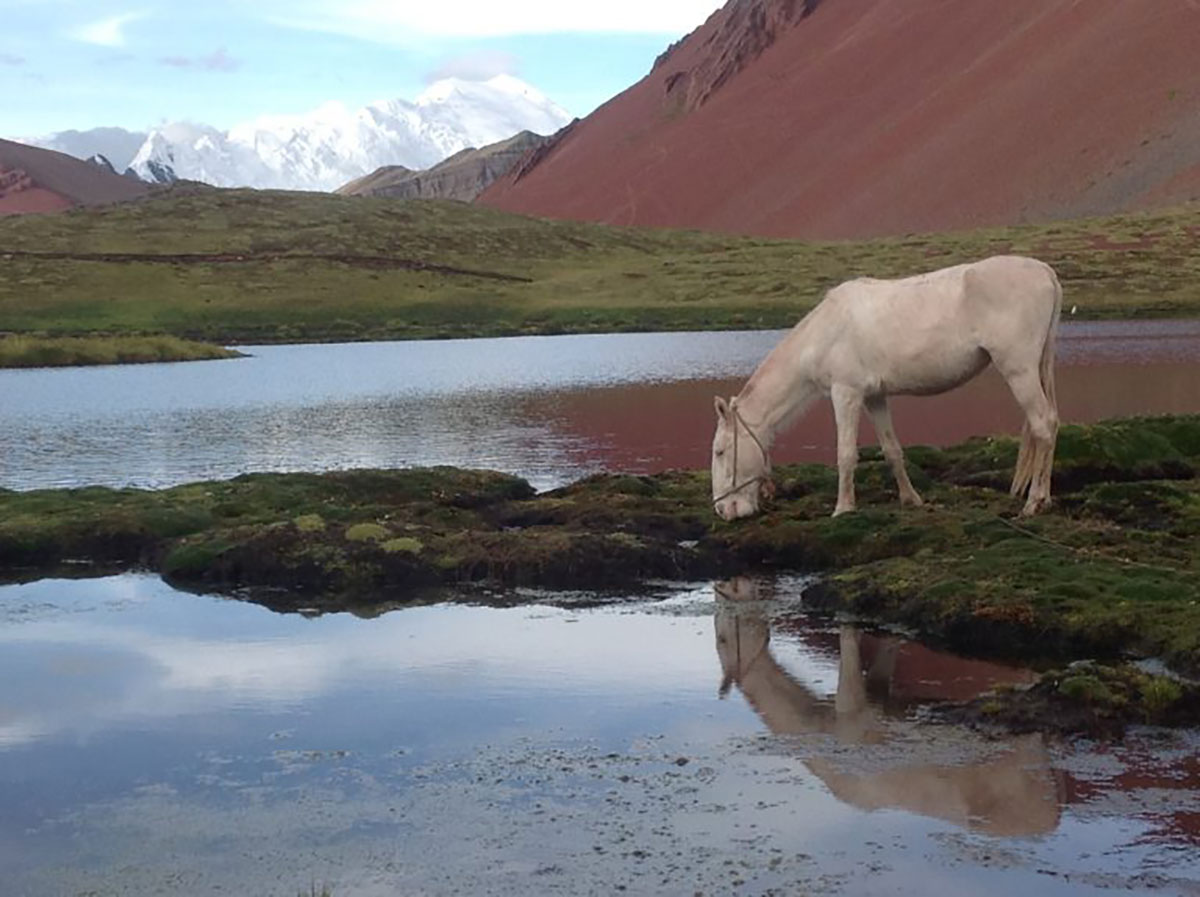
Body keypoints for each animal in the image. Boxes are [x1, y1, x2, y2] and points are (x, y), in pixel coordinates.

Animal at [711, 255, 1062, 519]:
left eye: (720, 451)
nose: (723, 511)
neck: (825, 331)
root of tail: (1046, 272)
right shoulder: (874, 398)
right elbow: (892, 450)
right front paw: (911, 499)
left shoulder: (845, 394)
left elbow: (845, 454)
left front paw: (843, 509)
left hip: (1019, 370)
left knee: (1042, 425)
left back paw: (1036, 501)